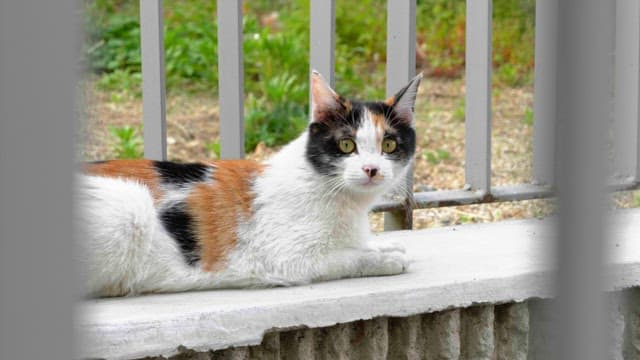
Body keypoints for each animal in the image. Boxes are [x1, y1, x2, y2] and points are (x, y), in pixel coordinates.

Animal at [79, 71, 420, 296]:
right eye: (347, 145)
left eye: (389, 145)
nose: (371, 169)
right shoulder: (290, 261)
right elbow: (349, 257)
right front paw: (385, 259)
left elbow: (362, 244)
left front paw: (385, 245)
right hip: (130, 207)